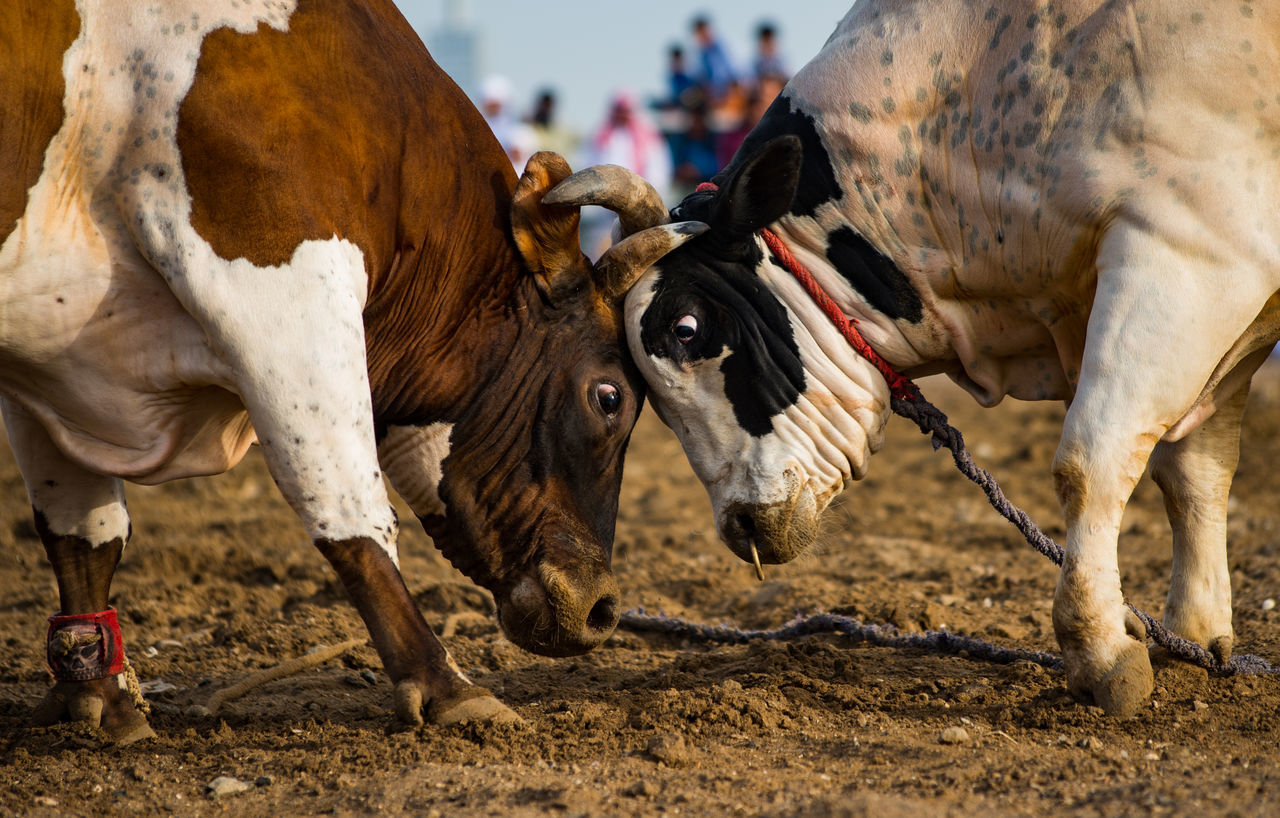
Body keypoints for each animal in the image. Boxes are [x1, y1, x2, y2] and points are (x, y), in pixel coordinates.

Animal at [0, 0, 701, 742]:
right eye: (610, 396)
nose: (601, 609)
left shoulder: (47, 359)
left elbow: (82, 530)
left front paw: (100, 695)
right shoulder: (282, 291)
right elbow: (348, 506)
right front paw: (445, 685)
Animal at [555, 0, 1280, 716]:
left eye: (685, 328)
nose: (743, 526)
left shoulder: (1181, 251)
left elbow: (1093, 461)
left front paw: (1101, 650)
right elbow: (1193, 475)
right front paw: (1193, 636)